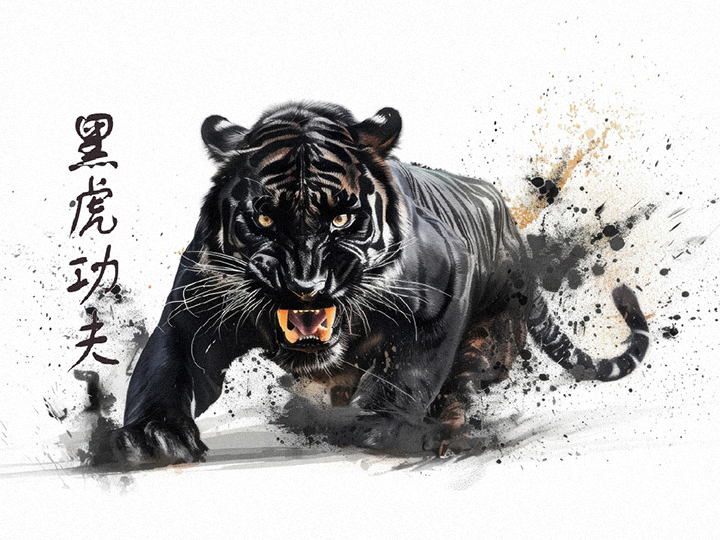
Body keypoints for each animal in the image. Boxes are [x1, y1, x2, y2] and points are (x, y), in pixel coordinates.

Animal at [113, 101, 650, 463]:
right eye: (264, 219)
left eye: (340, 218)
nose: (305, 285)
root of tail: (516, 241)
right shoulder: (194, 309)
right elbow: (165, 366)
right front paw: (155, 436)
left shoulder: (443, 293)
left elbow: (412, 370)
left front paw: (385, 427)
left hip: (488, 334)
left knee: (459, 385)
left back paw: (444, 437)